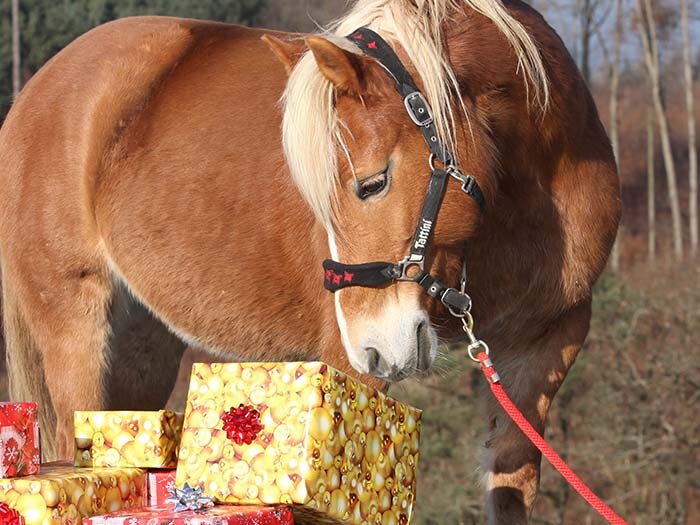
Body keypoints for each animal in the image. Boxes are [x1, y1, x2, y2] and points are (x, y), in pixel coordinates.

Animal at [0, 0, 620, 522]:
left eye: (372, 183)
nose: (376, 347)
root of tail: (35, 93)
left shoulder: (544, 349)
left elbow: (510, 486)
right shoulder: (346, 368)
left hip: (141, 347)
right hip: (76, 329)